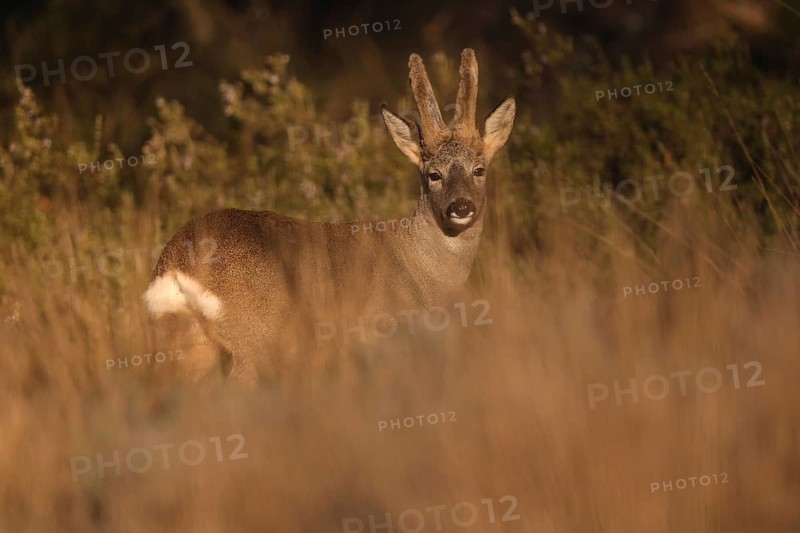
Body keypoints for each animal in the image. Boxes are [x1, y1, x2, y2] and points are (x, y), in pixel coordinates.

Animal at [142, 48, 515, 385]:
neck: (421, 267)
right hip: (254, 338)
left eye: (479, 170)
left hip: (189, 342)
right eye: (433, 174)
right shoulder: (382, 333)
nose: (461, 207)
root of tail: (174, 262)